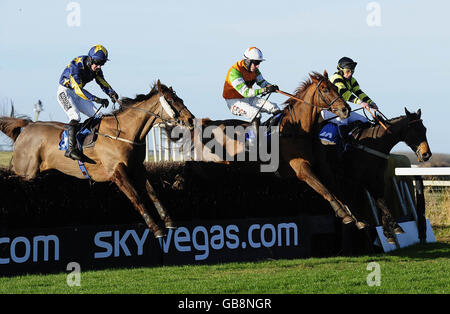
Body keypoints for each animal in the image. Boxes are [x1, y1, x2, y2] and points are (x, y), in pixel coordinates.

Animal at [0, 81, 196, 238]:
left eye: (181, 99)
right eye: (171, 101)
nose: (191, 119)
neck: (125, 132)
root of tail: (28, 126)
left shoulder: (137, 167)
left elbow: (153, 193)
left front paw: (169, 222)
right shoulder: (117, 171)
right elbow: (137, 197)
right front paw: (156, 229)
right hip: (26, 171)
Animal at [195, 72, 364, 226]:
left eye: (336, 87)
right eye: (325, 89)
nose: (345, 109)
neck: (300, 131)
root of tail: (206, 124)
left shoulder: (323, 166)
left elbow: (337, 189)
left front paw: (356, 216)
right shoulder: (301, 168)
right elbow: (324, 189)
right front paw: (343, 214)